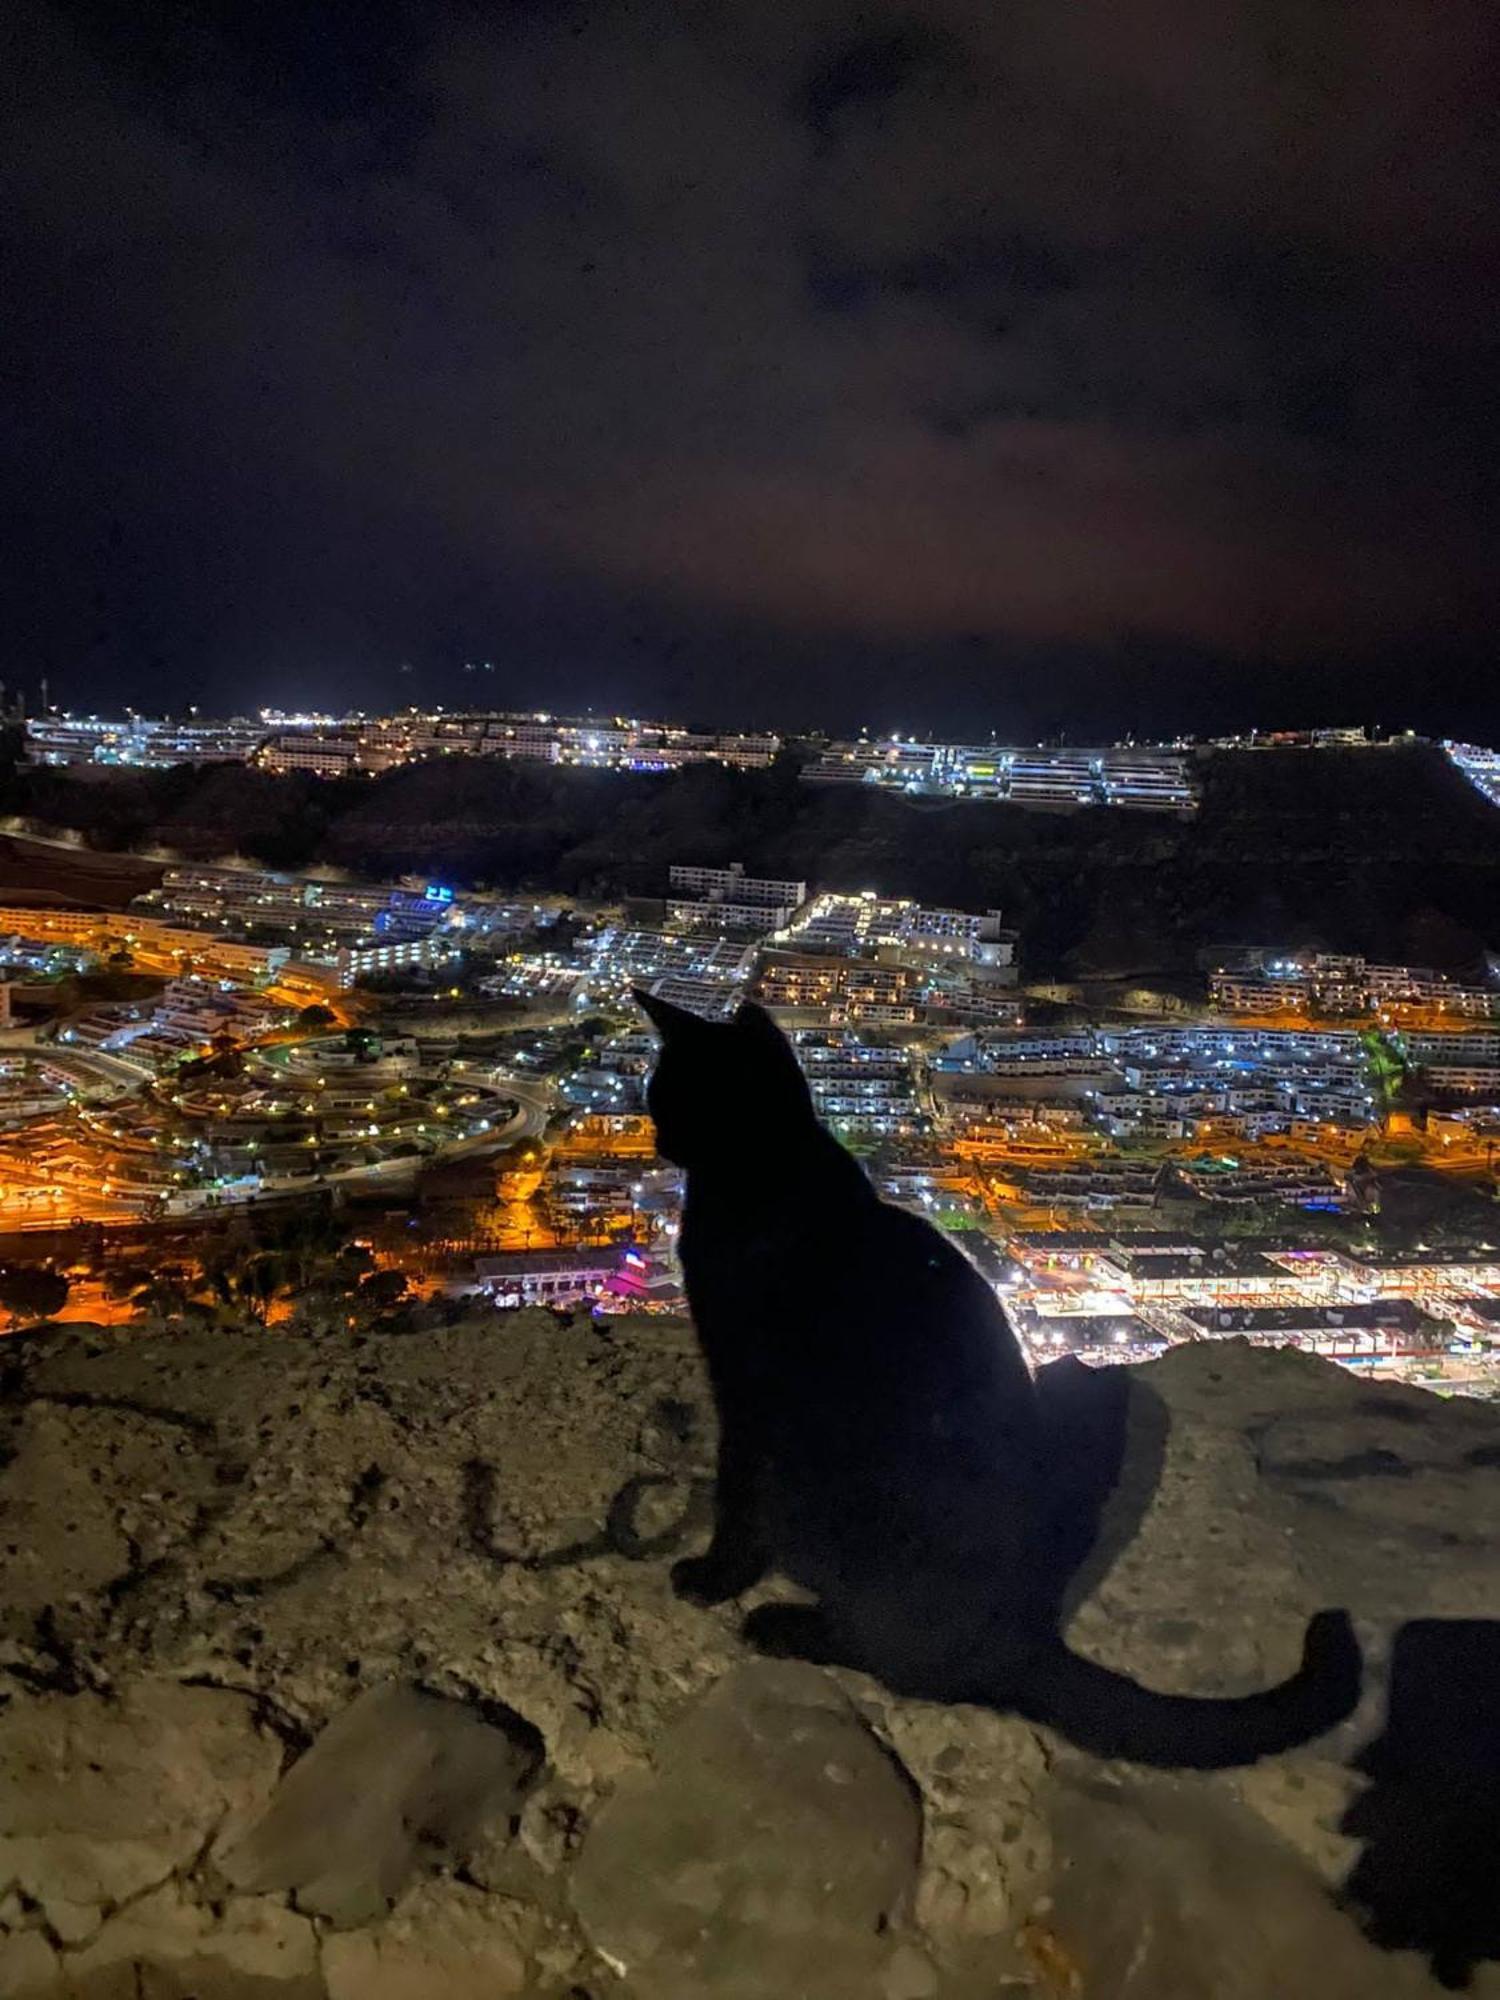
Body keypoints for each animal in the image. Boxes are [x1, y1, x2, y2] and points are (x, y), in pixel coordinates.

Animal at [640, 992, 1368, 1776]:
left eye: (667, 1094)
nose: (654, 1136)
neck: (767, 1170)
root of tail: (1024, 1642)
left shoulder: (746, 1392)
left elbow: (736, 1502)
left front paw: (712, 1578)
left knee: (905, 1662)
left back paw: (787, 1626)